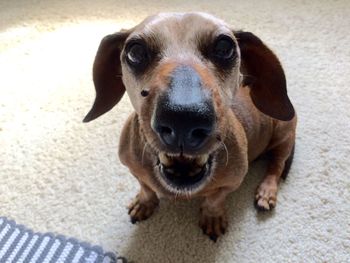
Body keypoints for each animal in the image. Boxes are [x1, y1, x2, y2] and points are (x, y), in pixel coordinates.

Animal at [83, 13, 296, 242]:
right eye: (135, 51)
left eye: (224, 47)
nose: (183, 119)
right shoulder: (133, 169)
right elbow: (146, 187)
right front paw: (144, 202)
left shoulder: (231, 183)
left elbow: (214, 199)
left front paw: (212, 217)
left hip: (283, 135)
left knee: (276, 165)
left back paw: (267, 191)